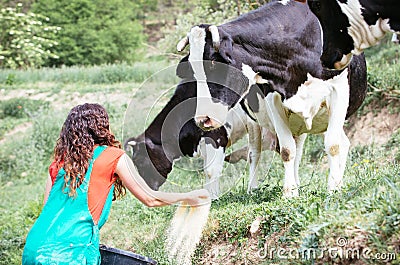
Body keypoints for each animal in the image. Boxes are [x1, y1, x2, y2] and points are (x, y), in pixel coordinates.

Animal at [125, 80, 278, 198]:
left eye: (139, 160)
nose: (148, 189)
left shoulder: (217, 137)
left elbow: (212, 170)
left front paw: (215, 197)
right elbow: (206, 170)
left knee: (255, 154)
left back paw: (252, 188)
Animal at [178, 0, 368, 195]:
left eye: (214, 65)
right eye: (193, 70)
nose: (202, 119)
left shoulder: (339, 89)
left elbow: (333, 145)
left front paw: (333, 189)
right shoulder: (273, 99)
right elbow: (287, 150)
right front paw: (290, 192)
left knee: (338, 143)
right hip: (254, 121)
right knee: (255, 153)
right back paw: (254, 189)